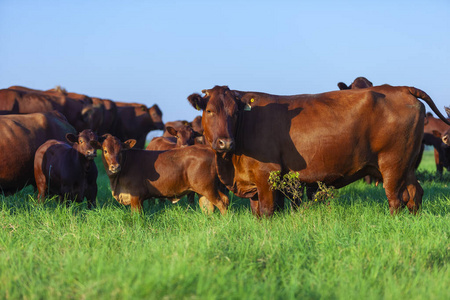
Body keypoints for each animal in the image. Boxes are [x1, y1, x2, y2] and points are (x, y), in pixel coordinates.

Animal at [92, 135, 230, 214]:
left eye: (121, 150)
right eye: (105, 150)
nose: (115, 166)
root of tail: (208, 149)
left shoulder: (136, 197)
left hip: (207, 188)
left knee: (221, 204)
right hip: (206, 189)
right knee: (213, 205)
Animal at [187, 85, 450, 217]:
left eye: (234, 112)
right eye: (209, 111)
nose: (225, 142)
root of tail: (400, 88)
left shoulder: (267, 175)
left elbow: (268, 211)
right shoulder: (253, 181)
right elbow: (257, 212)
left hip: (392, 164)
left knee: (396, 199)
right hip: (407, 164)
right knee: (415, 193)